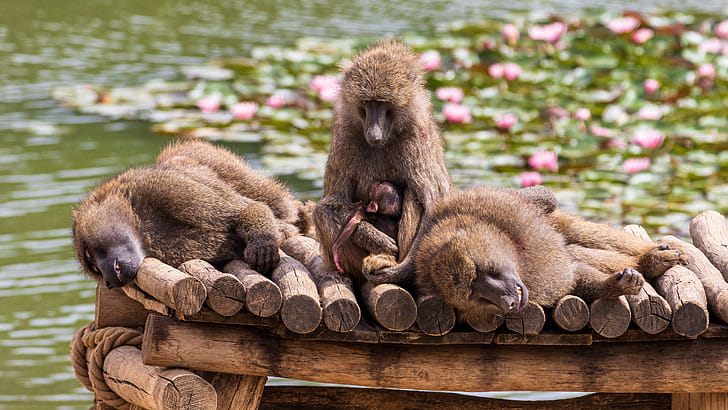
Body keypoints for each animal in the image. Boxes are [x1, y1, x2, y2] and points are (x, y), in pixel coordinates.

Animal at [72, 141, 300, 289]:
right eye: (94, 269)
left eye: (88, 253)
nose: (109, 283)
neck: (141, 225)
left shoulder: (164, 188)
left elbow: (246, 209)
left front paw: (263, 242)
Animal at [313, 39, 454, 283]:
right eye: (367, 103)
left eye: (382, 103)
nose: (373, 134)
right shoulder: (345, 133)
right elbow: (333, 203)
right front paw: (374, 238)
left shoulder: (417, 135)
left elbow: (435, 202)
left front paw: (402, 269)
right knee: (322, 213)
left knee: (414, 194)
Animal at [361, 186, 687, 320]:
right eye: (475, 293)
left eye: (483, 274)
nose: (507, 301)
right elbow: (575, 275)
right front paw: (616, 284)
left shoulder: (489, 205)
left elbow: (544, 198)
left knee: (571, 232)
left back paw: (651, 259)